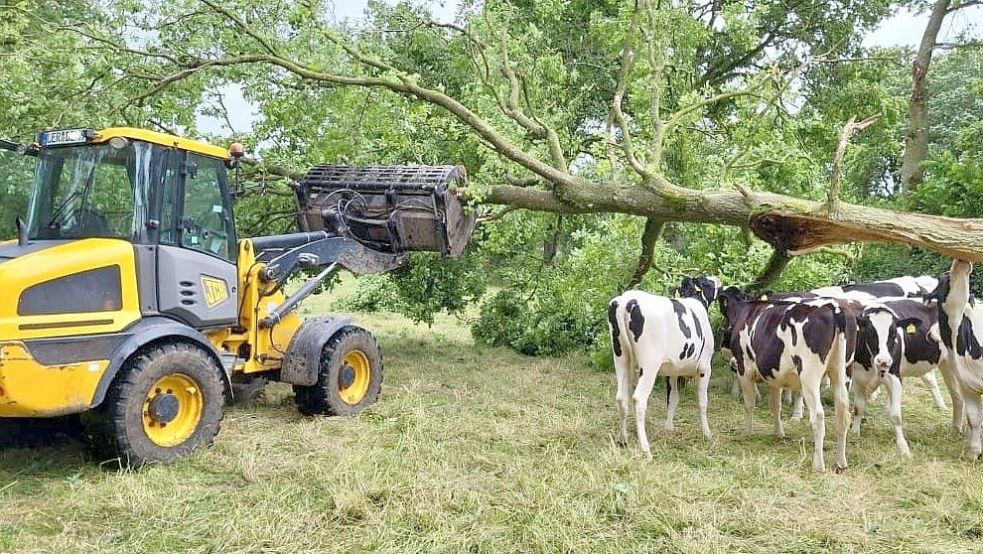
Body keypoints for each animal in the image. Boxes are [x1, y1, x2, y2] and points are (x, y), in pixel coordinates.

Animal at [608, 272, 724, 458]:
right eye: (706, 281)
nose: (718, 280)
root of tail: (626, 299)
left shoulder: (672, 371)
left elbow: (673, 398)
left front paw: (669, 428)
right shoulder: (705, 367)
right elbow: (702, 401)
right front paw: (707, 433)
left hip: (621, 357)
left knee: (621, 397)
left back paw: (622, 439)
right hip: (649, 365)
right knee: (638, 399)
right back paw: (645, 449)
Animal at [720, 286, 856, 472]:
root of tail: (834, 308)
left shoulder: (744, 368)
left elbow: (749, 404)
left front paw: (747, 432)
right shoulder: (773, 374)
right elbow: (775, 405)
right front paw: (778, 433)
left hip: (810, 375)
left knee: (818, 415)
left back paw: (818, 464)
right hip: (843, 372)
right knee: (843, 413)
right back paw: (841, 462)